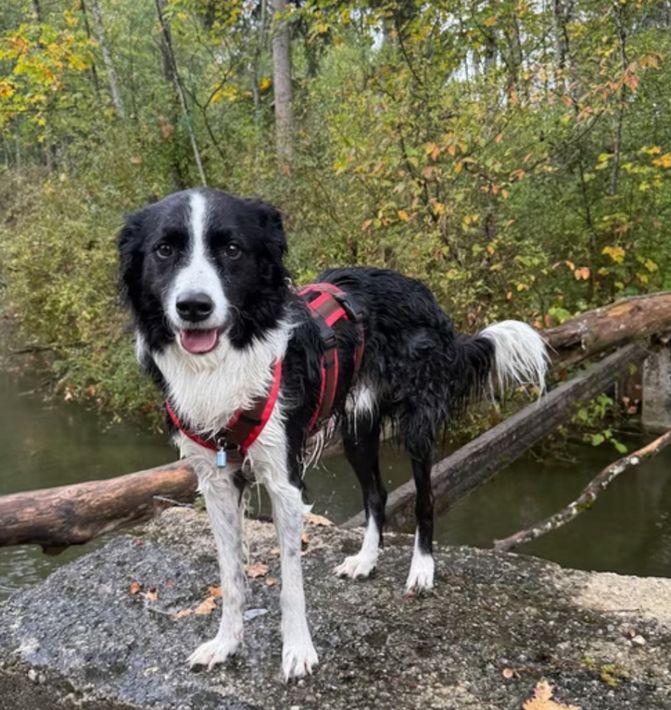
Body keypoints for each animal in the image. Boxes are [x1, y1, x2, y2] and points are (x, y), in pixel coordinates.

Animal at [117, 187, 548, 681]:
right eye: (164, 250)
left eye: (232, 249)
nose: (193, 307)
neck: (228, 359)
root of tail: (419, 289)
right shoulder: (217, 480)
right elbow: (230, 576)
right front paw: (226, 644)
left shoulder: (285, 479)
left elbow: (290, 582)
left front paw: (298, 651)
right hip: (358, 429)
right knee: (377, 494)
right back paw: (366, 560)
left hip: (417, 426)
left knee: (425, 496)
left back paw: (422, 569)